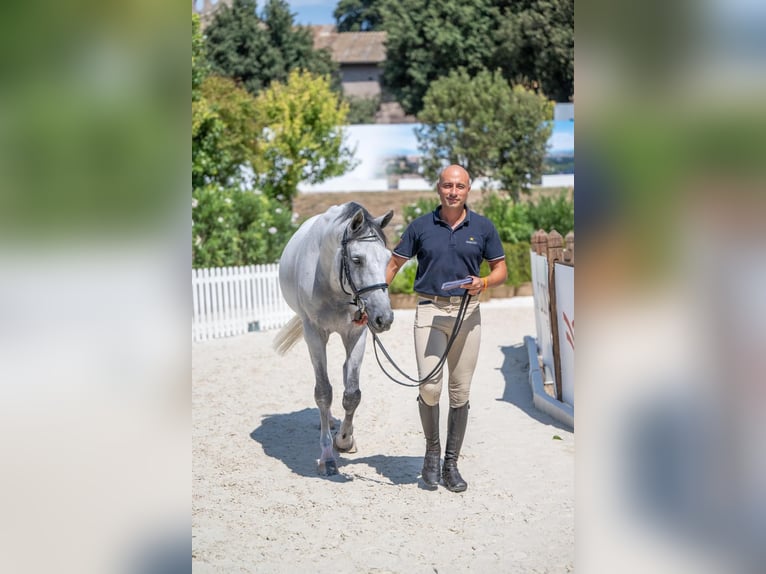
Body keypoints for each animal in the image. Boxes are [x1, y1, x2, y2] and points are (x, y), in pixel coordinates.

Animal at [274, 202, 395, 475]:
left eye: (387, 259)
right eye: (357, 259)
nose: (384, 318)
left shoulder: (356, 333)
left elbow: (352, 394)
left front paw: (345, 440)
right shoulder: (314, 333)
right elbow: (323, 393)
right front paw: (327, 456)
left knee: (343, 373)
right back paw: (327, 422)